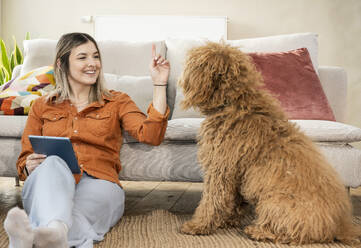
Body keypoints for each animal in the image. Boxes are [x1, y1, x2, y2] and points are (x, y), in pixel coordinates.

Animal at [178, 41, 360, 245]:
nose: (181, 76)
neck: (235, 102)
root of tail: (340, 225)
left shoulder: (220, 168)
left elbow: (212, 200)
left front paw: (198, 225)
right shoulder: (235, 172)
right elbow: (234, 200)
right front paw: (230, 220)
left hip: (274, 202)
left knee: (289, 232)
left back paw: (258, 231)